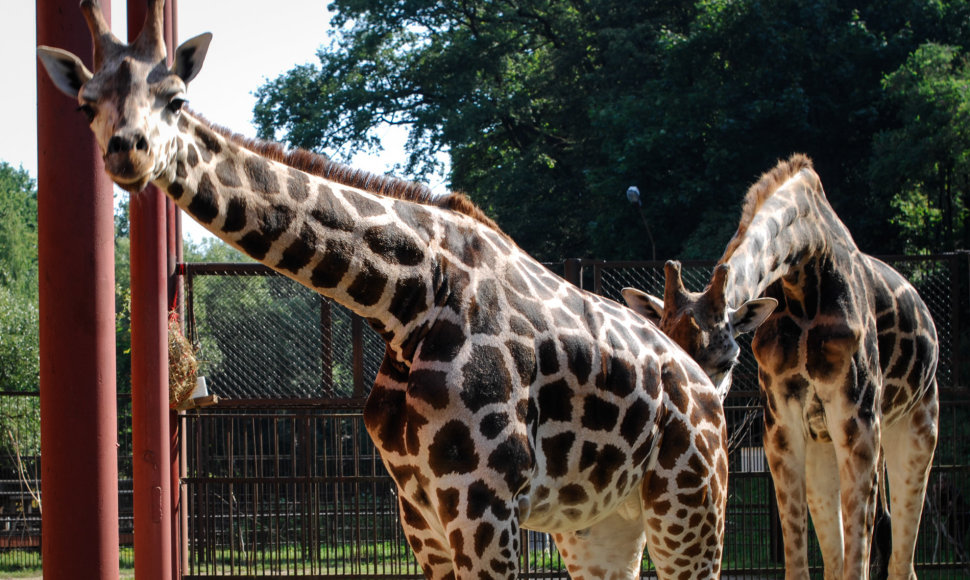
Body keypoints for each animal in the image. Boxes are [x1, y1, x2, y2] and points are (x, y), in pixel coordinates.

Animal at [41, 2, 728, 576]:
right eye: (85, 105)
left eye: (177, 100)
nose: (127, 151)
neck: (407, 304)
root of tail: (707, 385)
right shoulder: (421, 511)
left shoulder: (486, 503)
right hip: (601, 521)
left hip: (691, 504)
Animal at [620, 155, 936, 580]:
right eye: (664, 348)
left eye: (728, 360)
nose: (692, 421)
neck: (803, 270)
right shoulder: (781, 426)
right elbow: (799, 559)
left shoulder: (859, 420)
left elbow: (859, 559)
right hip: (823, 446)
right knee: (841, 555)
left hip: (917, 423)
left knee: (902, 557)